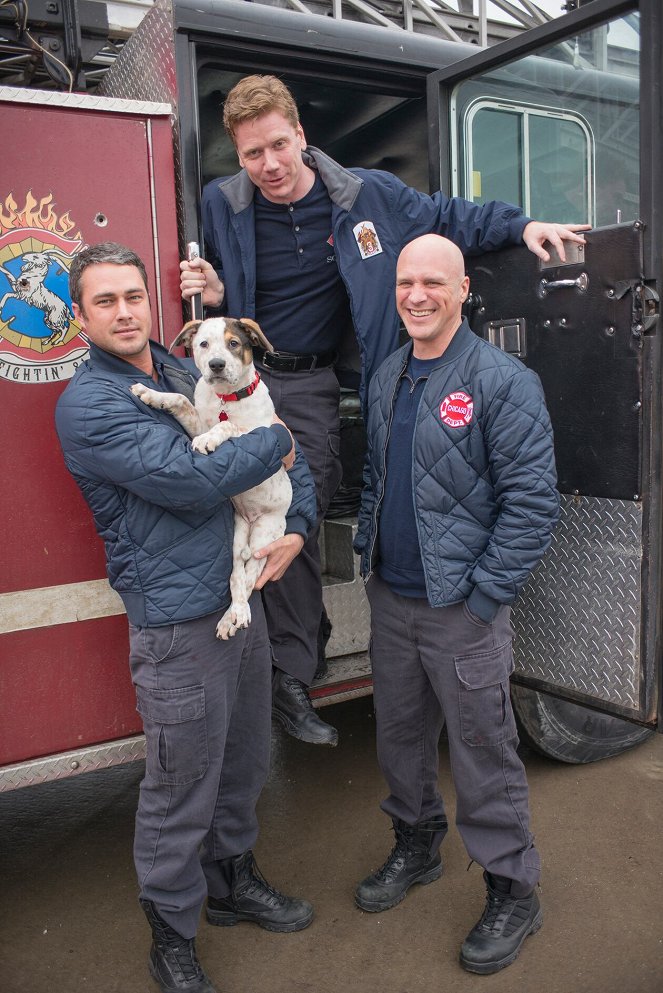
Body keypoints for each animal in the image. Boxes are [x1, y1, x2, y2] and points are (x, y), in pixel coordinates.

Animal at [131, 320, 292, 644]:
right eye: (203, 344)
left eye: (234, 343)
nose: (216, 365)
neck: (226, 398)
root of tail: (250, 520)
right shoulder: (196, 422)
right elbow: (181, 400)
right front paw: (150, 394)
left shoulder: (258, 432)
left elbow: (226, 426)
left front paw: (210, 439)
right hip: (236, 537)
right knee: (236, 575)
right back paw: (230, 617)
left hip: (265, 535)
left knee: (251, 577)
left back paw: (237, 615)